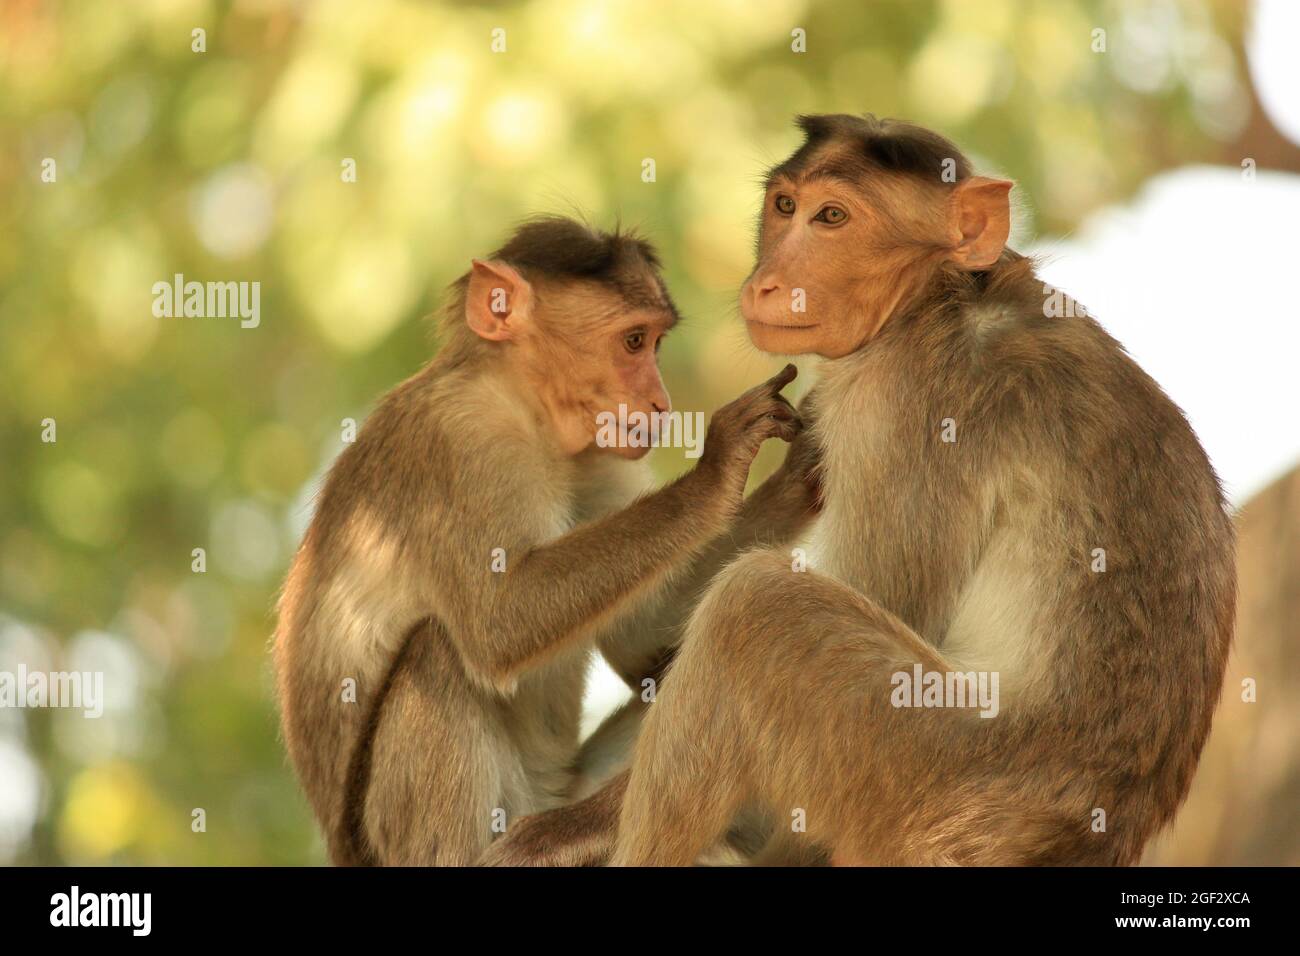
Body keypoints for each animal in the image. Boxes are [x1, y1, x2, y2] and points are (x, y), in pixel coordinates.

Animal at [269, 214, 806, 868]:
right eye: (633, 341)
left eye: (656, 343)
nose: (660, 403)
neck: (531, 414)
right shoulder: (459, 441)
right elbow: (499, 621)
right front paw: (719, 466)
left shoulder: (602, 457)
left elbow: (644, 642)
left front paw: (803, 475)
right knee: (436, 651)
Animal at [483, 113, 1232, 868]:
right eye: (785, 206)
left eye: (834, 218)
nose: (768, 282)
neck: (938, 299)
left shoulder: (903, 404)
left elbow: (884, 594)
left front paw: (573, 827)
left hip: (919, 778)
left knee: (758, 606)